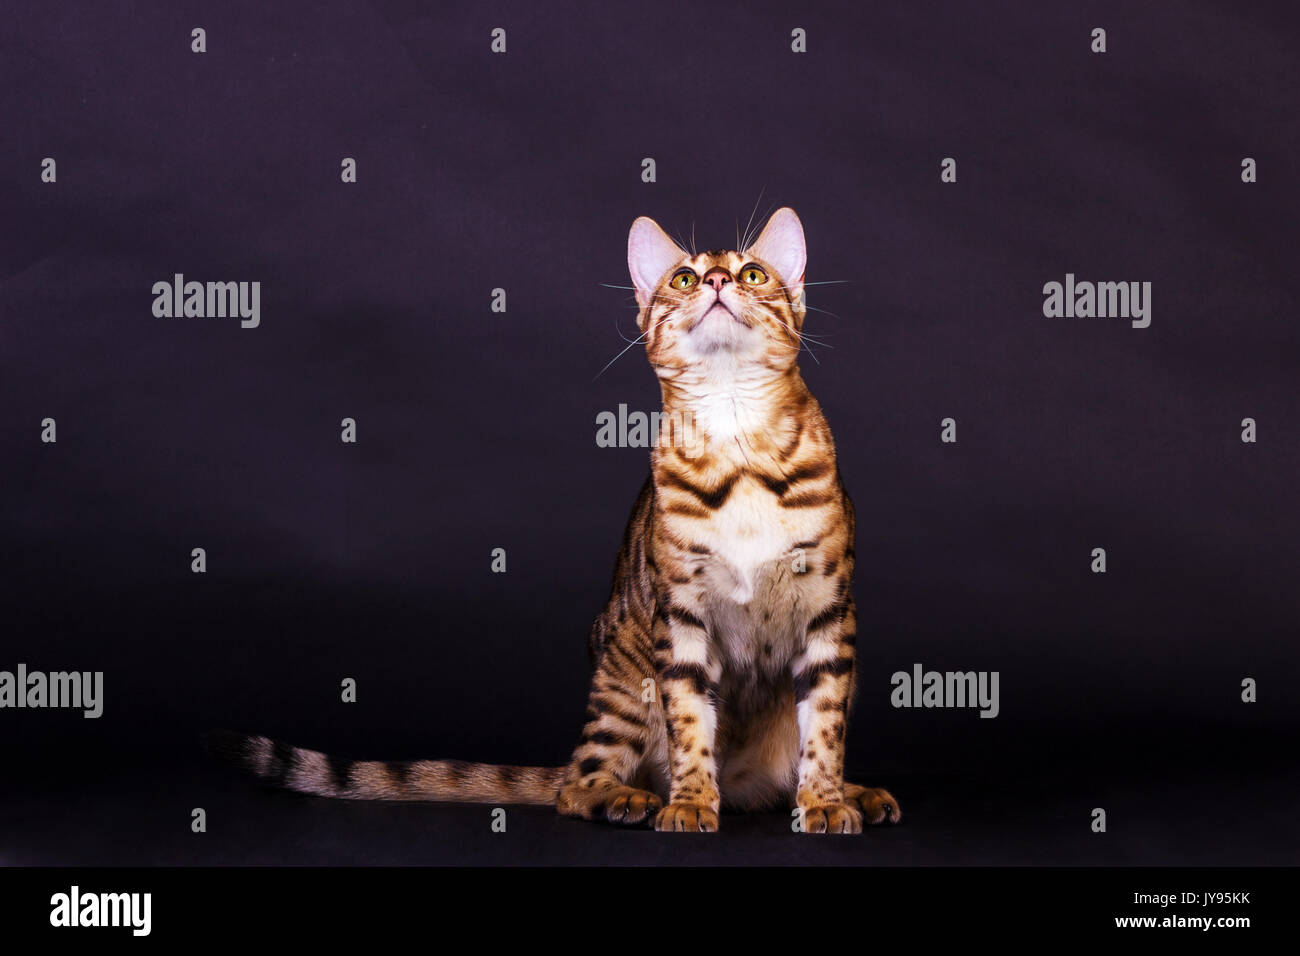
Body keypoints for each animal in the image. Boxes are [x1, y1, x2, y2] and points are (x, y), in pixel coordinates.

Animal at [215, 208, 904, 832]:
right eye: (682, 278)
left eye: (753, 273)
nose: (713, 281)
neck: (736, 435)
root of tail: (743, 783)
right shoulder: (680, 615)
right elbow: (689, 722)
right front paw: (688, 802)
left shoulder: (829, 612)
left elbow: (824, 729)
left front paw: (824, 801)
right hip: (624, 677)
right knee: (575, 786)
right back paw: (629, 797)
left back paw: (852, 793)